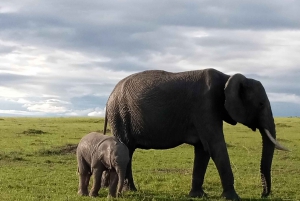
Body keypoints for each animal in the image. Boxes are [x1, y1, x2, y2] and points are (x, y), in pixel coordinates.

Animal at [103, 68, 288, 200]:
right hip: (119, 115)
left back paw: (131, 191)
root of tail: (109, 96)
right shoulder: (205, 106)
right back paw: (128, 192)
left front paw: (198, 196)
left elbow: (203, 150)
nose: (263, 194)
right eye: (261, 104)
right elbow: (215, 146)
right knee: (126, 149)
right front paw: (233, 198)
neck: (227, 77)